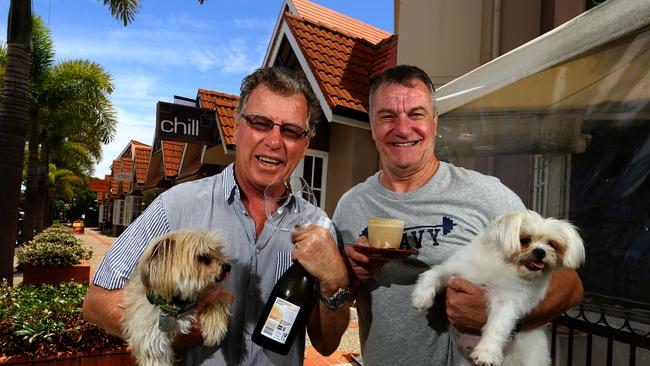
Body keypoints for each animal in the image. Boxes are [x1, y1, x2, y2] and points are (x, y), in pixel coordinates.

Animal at [123, 232, 232, 366]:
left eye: (218, 251)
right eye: (203, 256)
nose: (228, 266)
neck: (178, 305)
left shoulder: (211, 293)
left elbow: (217, 299)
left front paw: (214, 327)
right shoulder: (149, 331)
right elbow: (155, 352)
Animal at [410, 210, 584, 364]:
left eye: (551, 244)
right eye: (524, 240)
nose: (540, 252)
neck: (506, 266)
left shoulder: (506, 303)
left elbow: (497, 327)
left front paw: (487, 352)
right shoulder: (455, 270)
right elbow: (434, 274)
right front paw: (421, 296)